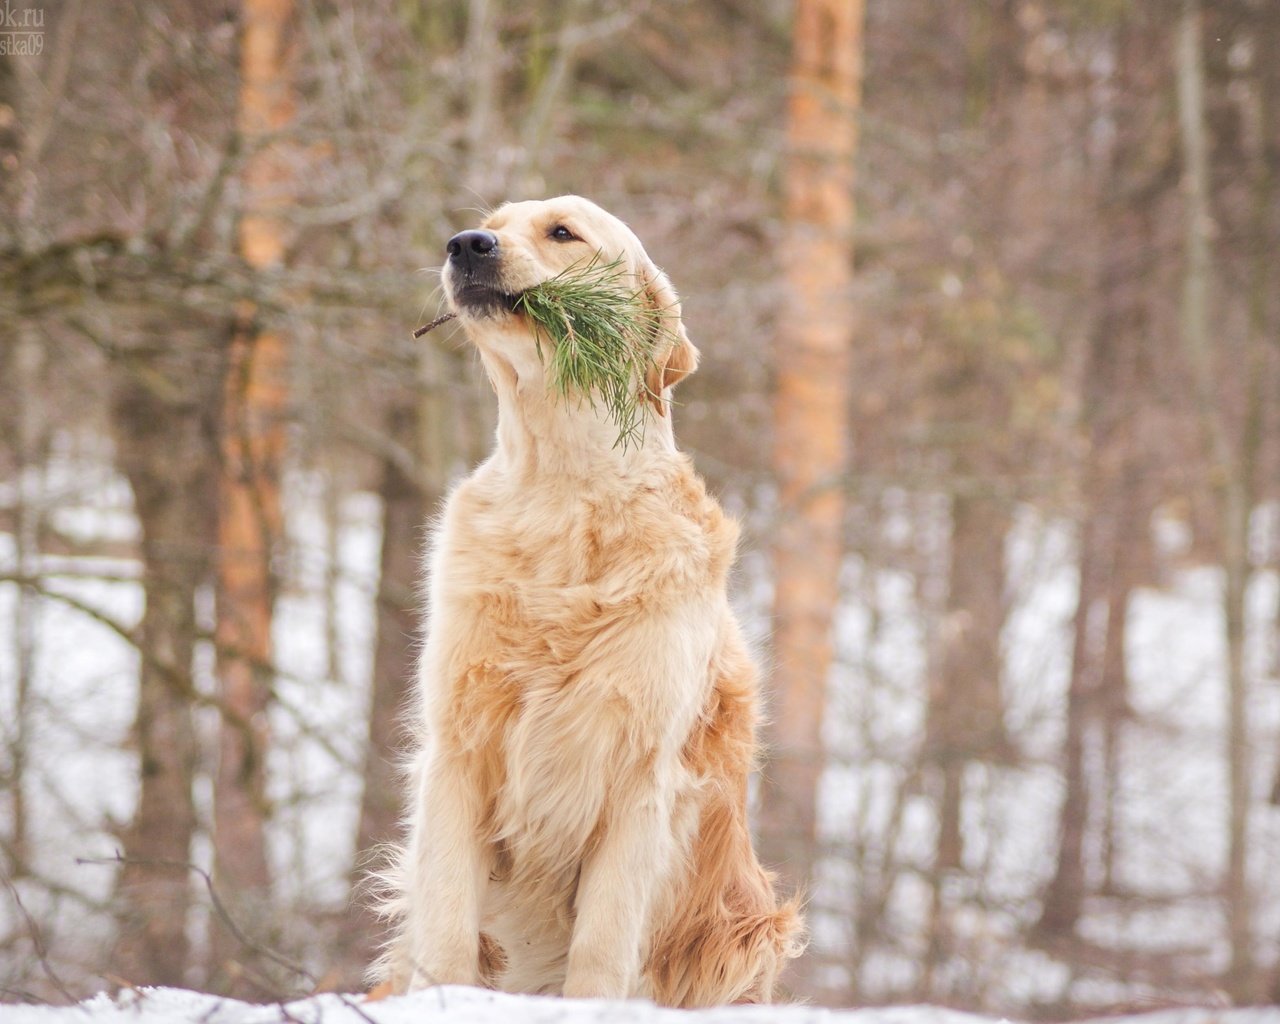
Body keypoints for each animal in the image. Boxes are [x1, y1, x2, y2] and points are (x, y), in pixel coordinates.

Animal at [373, 195, 803, 1003]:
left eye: (563, 233)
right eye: (491, 224)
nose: (464, 245)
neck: (563, 488)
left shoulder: (641, 774)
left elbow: (602, 946)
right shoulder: (459, 746)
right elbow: (445, 925)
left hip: (742, 931)